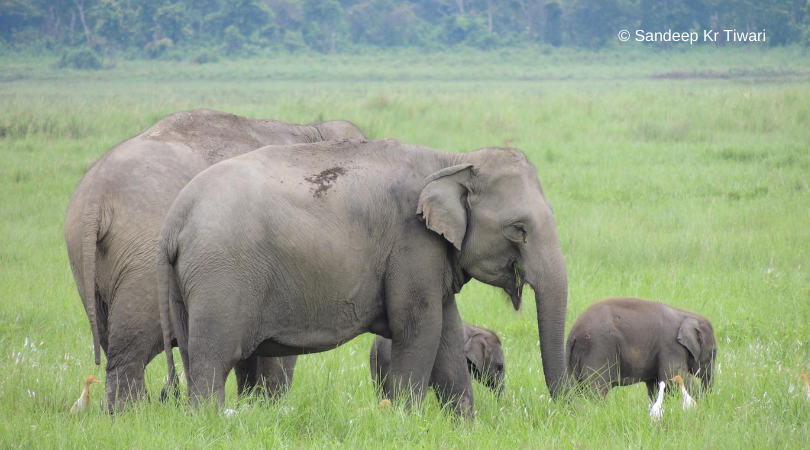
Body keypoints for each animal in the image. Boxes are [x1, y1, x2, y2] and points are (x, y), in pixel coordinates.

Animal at [64, 109, 365, 411]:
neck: (312, 131)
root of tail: (98, 194)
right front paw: (268, 406)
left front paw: (253, 406)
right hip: (143, 261)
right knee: (132, 348)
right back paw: (133, 412)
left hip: (85, 263)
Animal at [566, 297, 717, 399]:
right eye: (712, 353)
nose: (709, 401)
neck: (687, 315)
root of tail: (573, 332)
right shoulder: (671, 346)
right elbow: (674, 375)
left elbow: (657, 384)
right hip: (598, 348)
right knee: (596, 389)